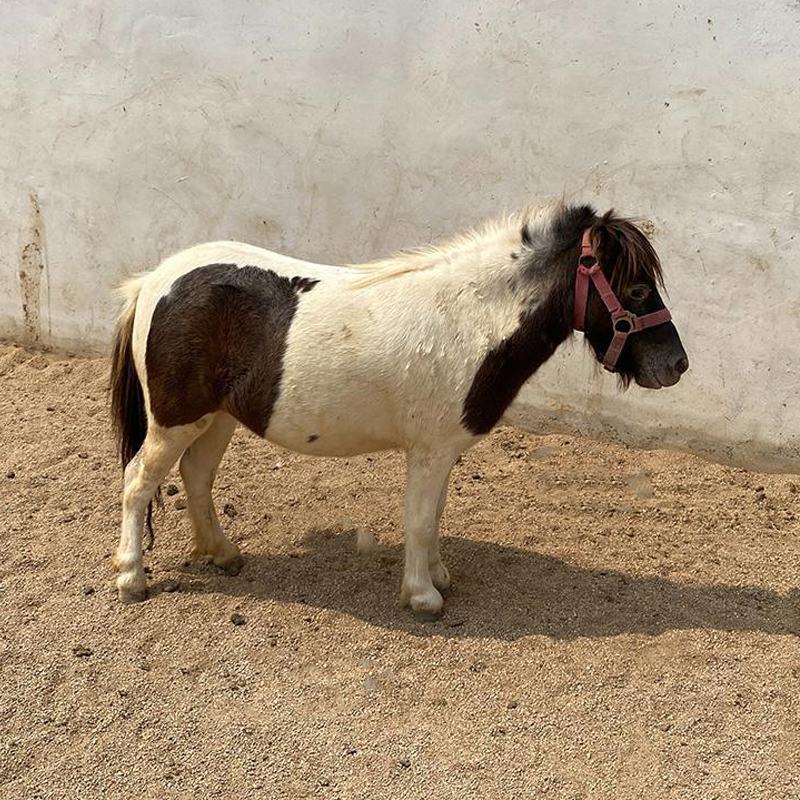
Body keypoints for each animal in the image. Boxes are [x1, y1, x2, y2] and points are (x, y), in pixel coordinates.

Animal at [109, 200, 688, 616]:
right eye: (637, 289)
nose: (676, 364)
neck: (472, 320)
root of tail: (155, 279)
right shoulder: (428, 450)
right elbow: (419, 520)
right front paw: (423, 596)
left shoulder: (443, 449)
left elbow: (435, 516)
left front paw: (438, 577)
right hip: (174, 420)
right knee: (138, 481)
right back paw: (131, 577)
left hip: (216, 417)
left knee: (197, 476)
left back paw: (222, 553)